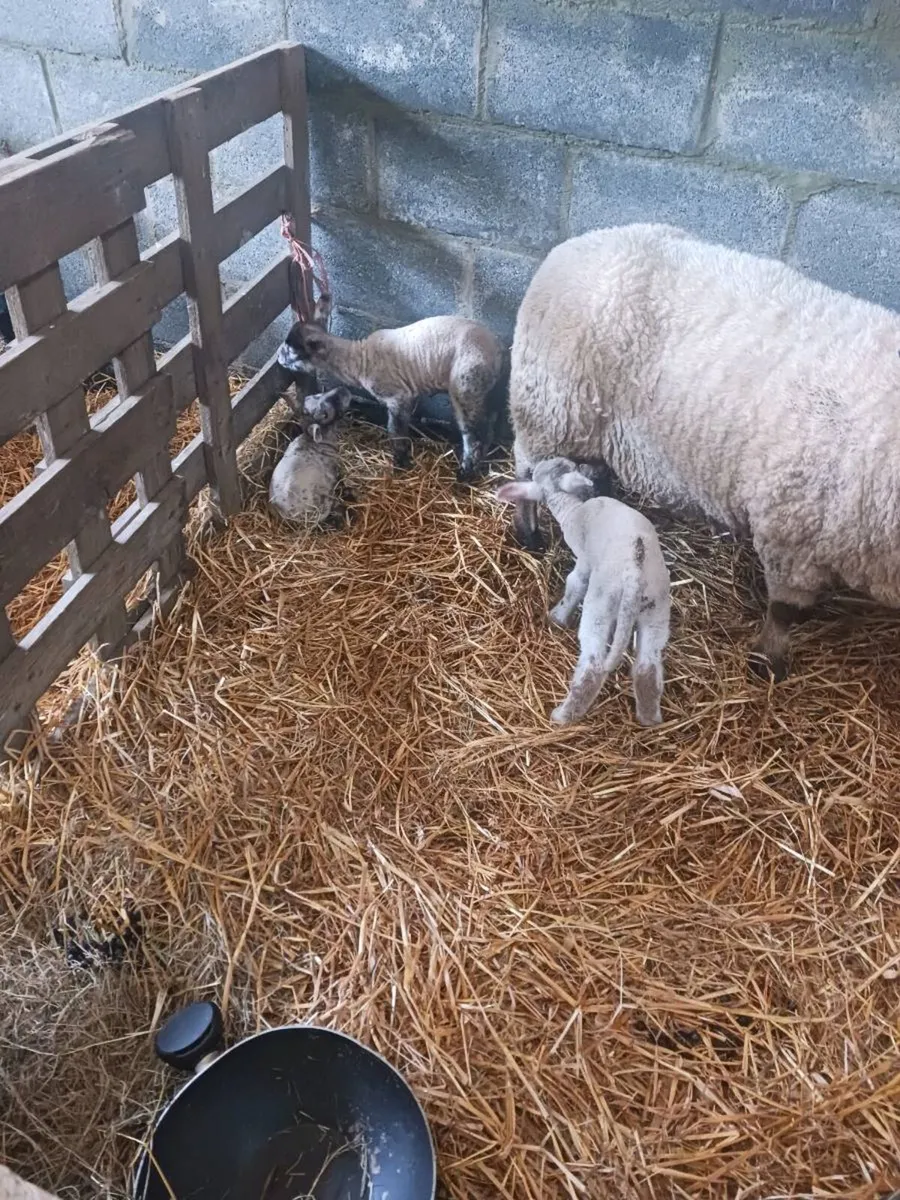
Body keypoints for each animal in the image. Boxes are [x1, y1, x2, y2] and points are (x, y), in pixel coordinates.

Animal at [276, 295, 507, 481]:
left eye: (291, 351)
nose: (278, 359)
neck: (358, 360)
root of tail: (497, 350)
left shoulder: (398, 396)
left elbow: (395, 430)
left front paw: (401, 461)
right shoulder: (409, 396)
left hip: (466, 384)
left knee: (473, 434)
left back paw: (465, 474)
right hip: (485, 390)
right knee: (489, 426)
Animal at [497, 457, 671, 726]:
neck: (573, 510)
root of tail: (634, 574)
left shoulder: (585, 560)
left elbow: (575, 582)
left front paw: (557, 618)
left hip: (602, 603)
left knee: (593, 665)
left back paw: (563, 715)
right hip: (657, 605)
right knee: (647, 665)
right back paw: (649, 718)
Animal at [507, 221, 900, 681]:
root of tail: (575, 244)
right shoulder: (792, 531)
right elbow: (786, 610)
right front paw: (768, 662)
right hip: (549, 408)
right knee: (527, 470)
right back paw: (529, 532)